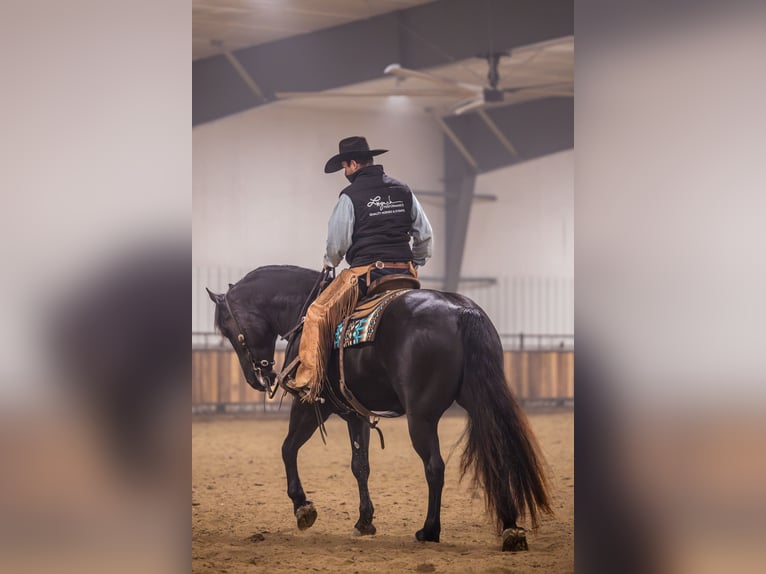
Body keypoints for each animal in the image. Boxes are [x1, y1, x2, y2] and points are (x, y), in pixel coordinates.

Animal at [206, 264, 552, 551]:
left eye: (228, 329)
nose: (255, 378)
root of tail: (460, 310)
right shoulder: (356, 413)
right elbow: (360, 465)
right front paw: (364, 521)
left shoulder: (310, 404)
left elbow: (288, 449)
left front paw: (303, 507)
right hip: (480, 402)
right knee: (498, 457)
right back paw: (511, 529)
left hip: (421, 417)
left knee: (434, 467)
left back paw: (429, 530)